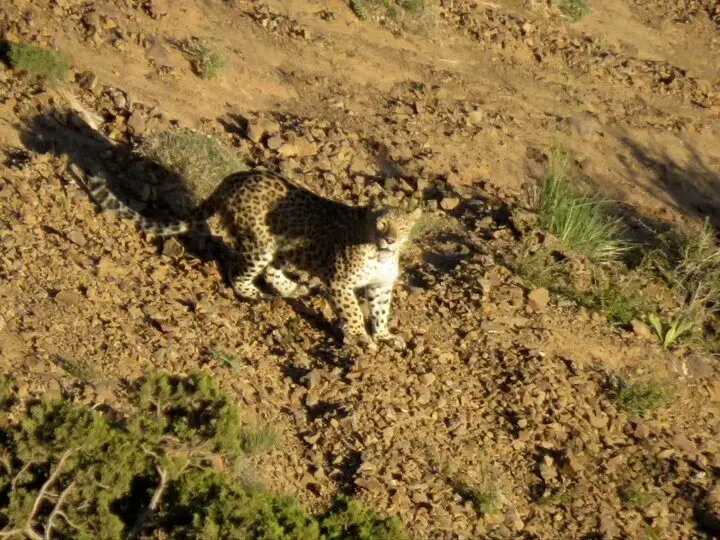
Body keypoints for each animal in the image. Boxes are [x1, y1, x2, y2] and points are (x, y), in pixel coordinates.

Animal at [88, 170, 422, 350]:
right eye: (381, 224)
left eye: (403, 228)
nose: (390, 239)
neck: (381, 255)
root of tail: (232, 179)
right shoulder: (339, 283)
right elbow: (352, 310)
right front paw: (359, 337)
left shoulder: (381, 286)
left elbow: (380, 311)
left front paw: (384, 335)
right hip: (258, 242)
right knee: (239, 273)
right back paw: (255, 293)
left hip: (277, 246)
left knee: (272, 271)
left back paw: (293, 288)